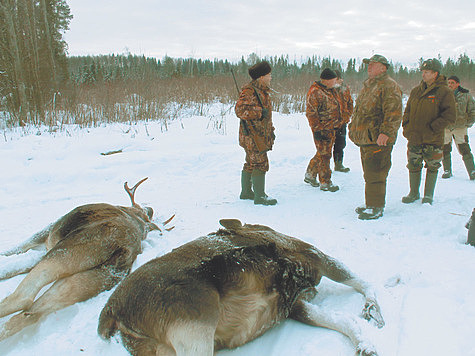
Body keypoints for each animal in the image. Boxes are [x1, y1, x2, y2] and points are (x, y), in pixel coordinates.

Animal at [0, 178, 175, 342]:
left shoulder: (50, 230)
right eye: (146, 213)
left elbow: (18, 249)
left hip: (66, 253)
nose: (150, 209)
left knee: (23, 298)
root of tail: (124, 249)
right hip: (89, 281)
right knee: (29, 314)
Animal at [98, 218, 384, 354]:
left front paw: (366, 345)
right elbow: (361, 282)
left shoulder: (293, 302)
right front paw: (373, 314)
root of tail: (112, 313)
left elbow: (344, 321)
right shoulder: (310, 253)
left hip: (152, 348)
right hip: (197, 320)